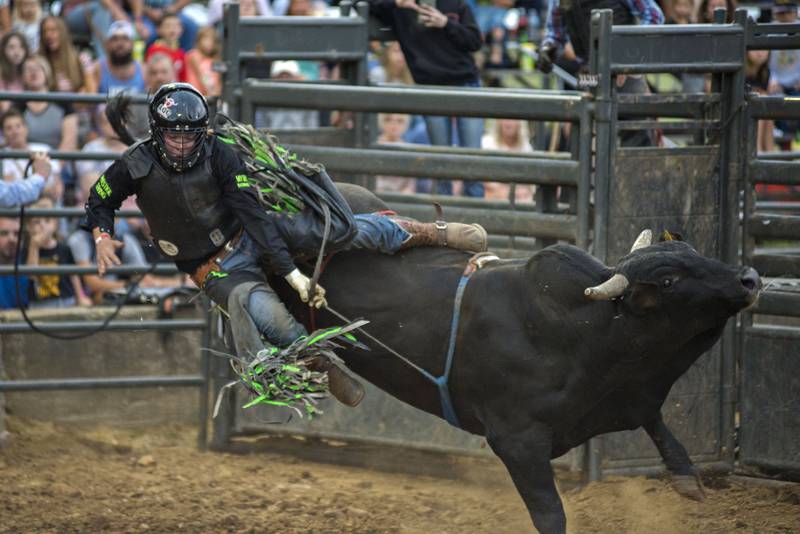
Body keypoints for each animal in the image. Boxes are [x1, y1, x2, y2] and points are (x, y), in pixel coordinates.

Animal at [266, 185, 760, 534]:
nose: (750, 278)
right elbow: (550, 514)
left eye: (694, 252)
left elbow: (658, 426)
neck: (588, 332)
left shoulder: (629, 400)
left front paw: (687, 479)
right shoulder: (516, 443)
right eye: (670, 279)